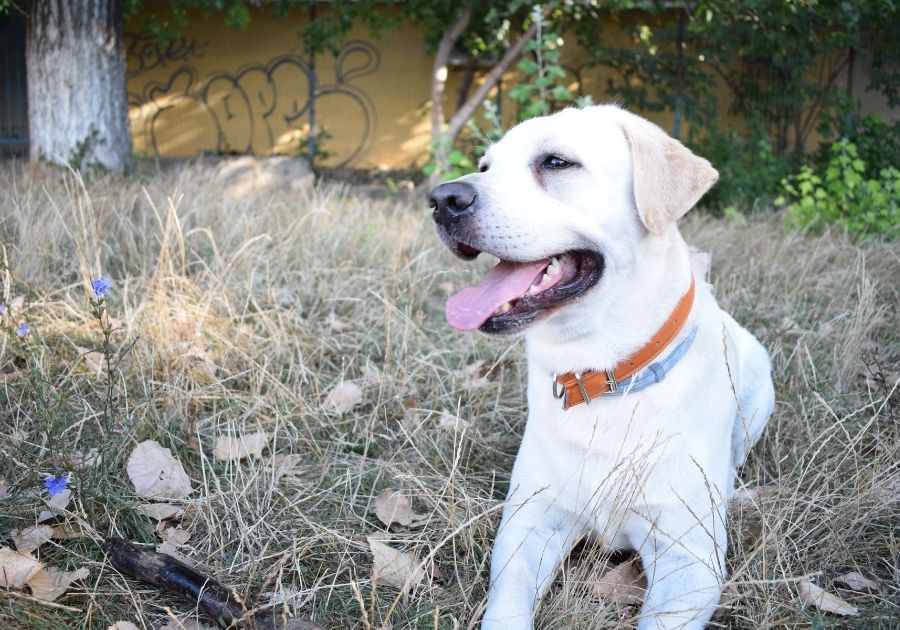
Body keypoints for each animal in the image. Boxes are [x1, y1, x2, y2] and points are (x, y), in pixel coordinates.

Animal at [428, 106, 772, 628]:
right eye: (485, 167)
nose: (442, 199)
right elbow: (507, 606)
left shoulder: (689, 560)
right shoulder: (529, 521)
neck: (602, 375)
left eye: (555, 161)